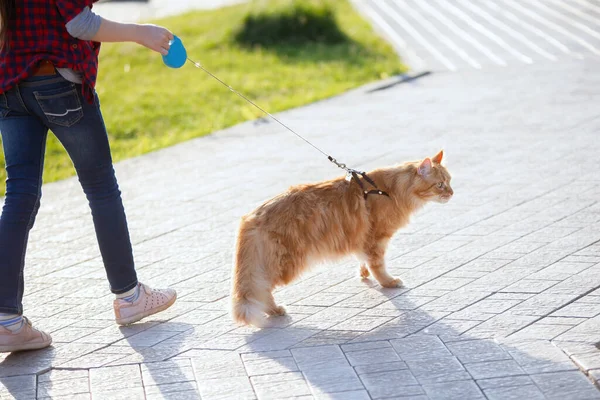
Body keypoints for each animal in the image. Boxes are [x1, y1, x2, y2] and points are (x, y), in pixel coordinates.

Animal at [232, 150, 452, 324]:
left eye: (449, 181)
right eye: (440, 185)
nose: (452, 193)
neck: (390, 190)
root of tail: (251, 217)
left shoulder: (363, 240)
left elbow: (364, 260)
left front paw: (364, 273)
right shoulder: (377, 238)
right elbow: (378, 266)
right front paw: (388, 282)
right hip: (285, 264)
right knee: (261, 290)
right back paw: (275, 310)